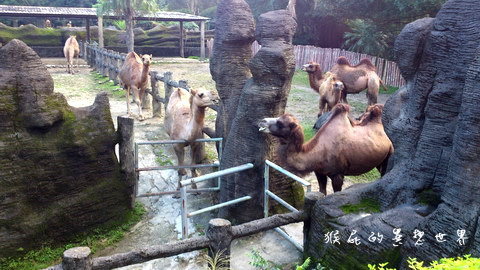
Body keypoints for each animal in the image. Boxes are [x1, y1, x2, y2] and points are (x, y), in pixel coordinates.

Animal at [258, 103, 394, 194]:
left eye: (280, 123)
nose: (262, 120)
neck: (317, 153)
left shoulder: (338, 174)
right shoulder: (319, 172)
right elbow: (322, 192)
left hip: (389, 154)